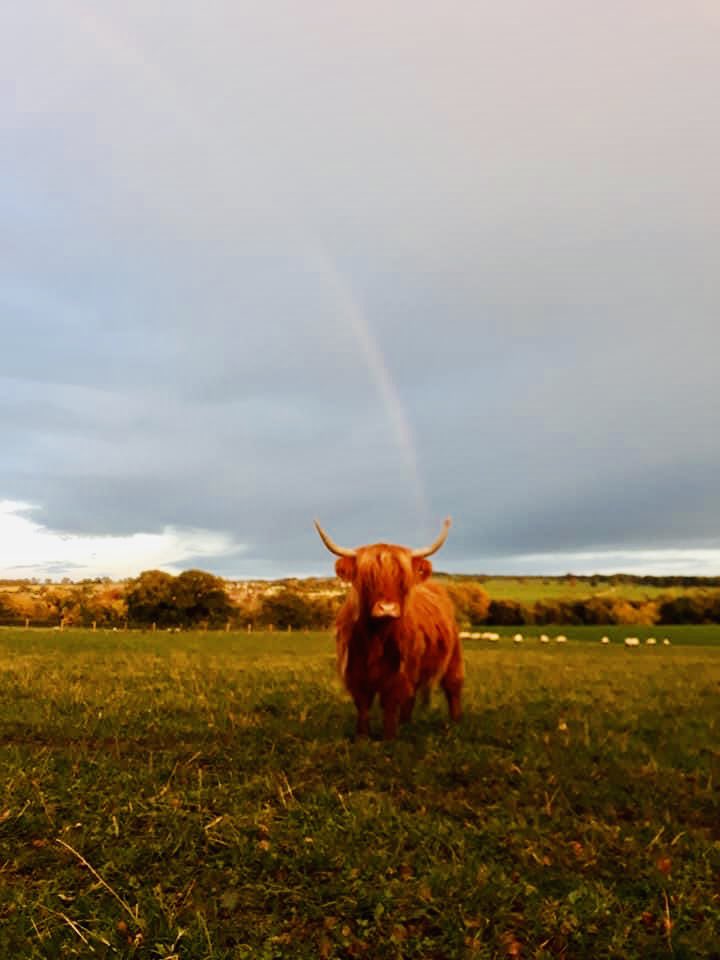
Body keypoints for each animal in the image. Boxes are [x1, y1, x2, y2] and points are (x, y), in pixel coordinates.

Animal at [314, 517, 464, 740]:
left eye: (402, 580)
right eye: (368, 577)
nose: (387, 608)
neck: (376, 637)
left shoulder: (397, 671)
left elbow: (390, 703)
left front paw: (389, 738)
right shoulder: (355, 671)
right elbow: (363, 705)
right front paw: (362, 737)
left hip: (452, 656)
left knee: (452, 685)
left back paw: (455, 724)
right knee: (412, 695)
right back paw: (406, 723)